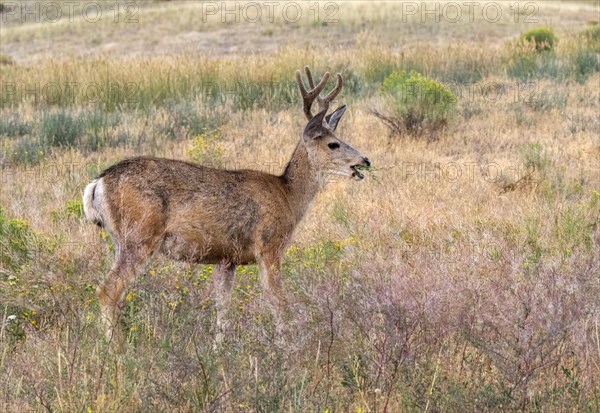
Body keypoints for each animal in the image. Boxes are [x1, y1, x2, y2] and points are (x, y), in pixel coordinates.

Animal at [82, 65, 368, 342]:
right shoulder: (269, 245)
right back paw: (115, 348)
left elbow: (223, 306)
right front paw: (286, 345)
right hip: (140, 235)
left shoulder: (226, 259)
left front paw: (219, 347)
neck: (288, 195)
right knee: (108, 289)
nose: (365, 160)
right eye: (333, 144)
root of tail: (98, 182)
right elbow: (278, 302)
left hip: (120, 240)